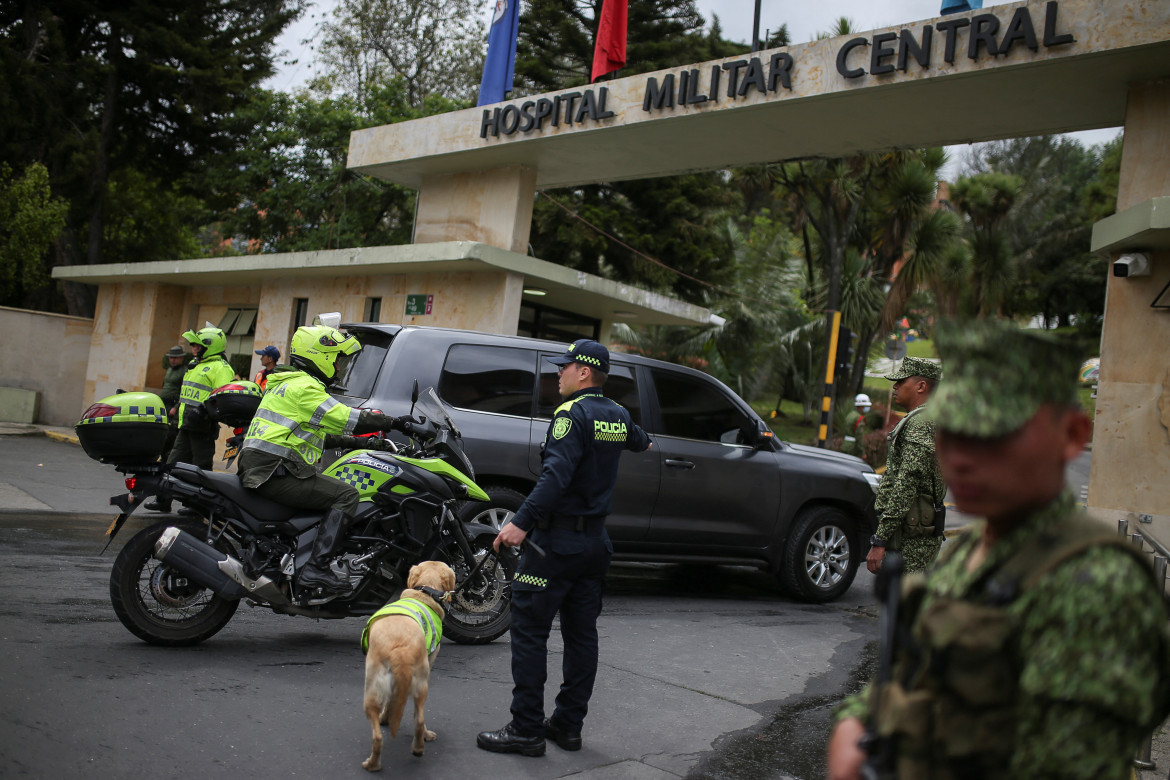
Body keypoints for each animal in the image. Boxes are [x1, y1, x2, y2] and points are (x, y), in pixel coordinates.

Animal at [360, 561, 456, 767]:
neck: (426, 590)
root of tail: (399, 648)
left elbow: (390, 704)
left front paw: (385, 719)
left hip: (372, 690)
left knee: (378, 736)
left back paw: (373, 764)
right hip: (420, 684)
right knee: (418, 720)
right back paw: (419, 747)